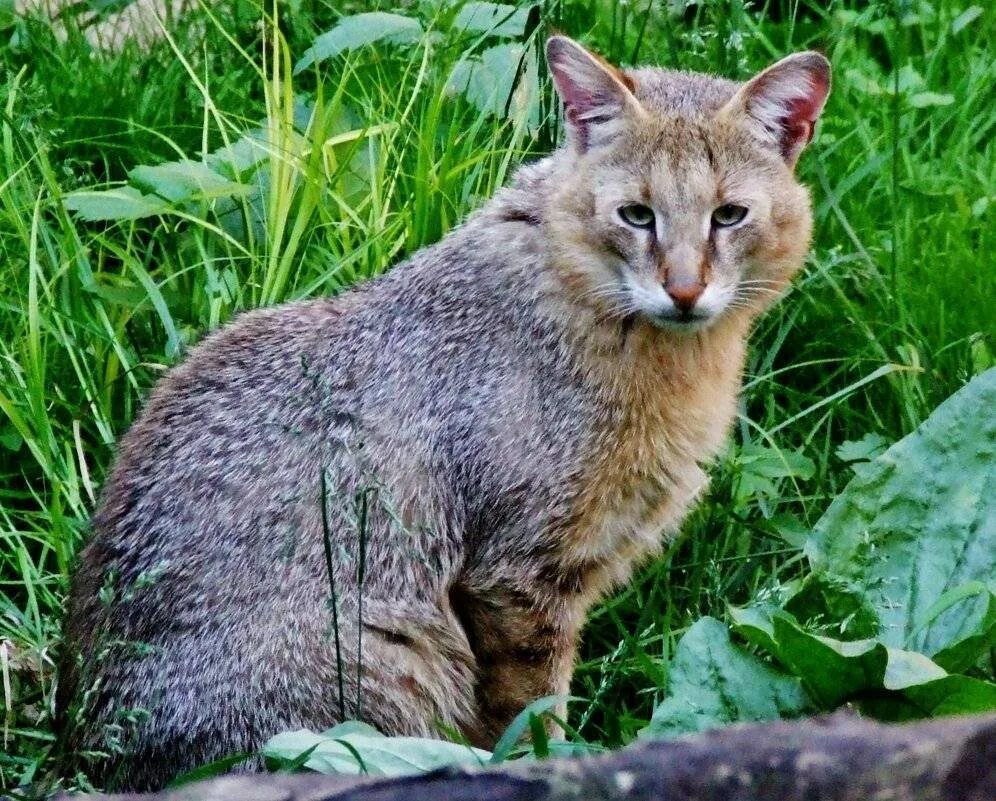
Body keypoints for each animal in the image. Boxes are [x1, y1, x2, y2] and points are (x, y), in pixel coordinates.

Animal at [56, 36, 832, 788]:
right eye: (636, 214)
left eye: (729, 215)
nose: (684, 290)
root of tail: (85, 747)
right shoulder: (516, 576)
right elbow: (530, 715)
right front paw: (559, 767)